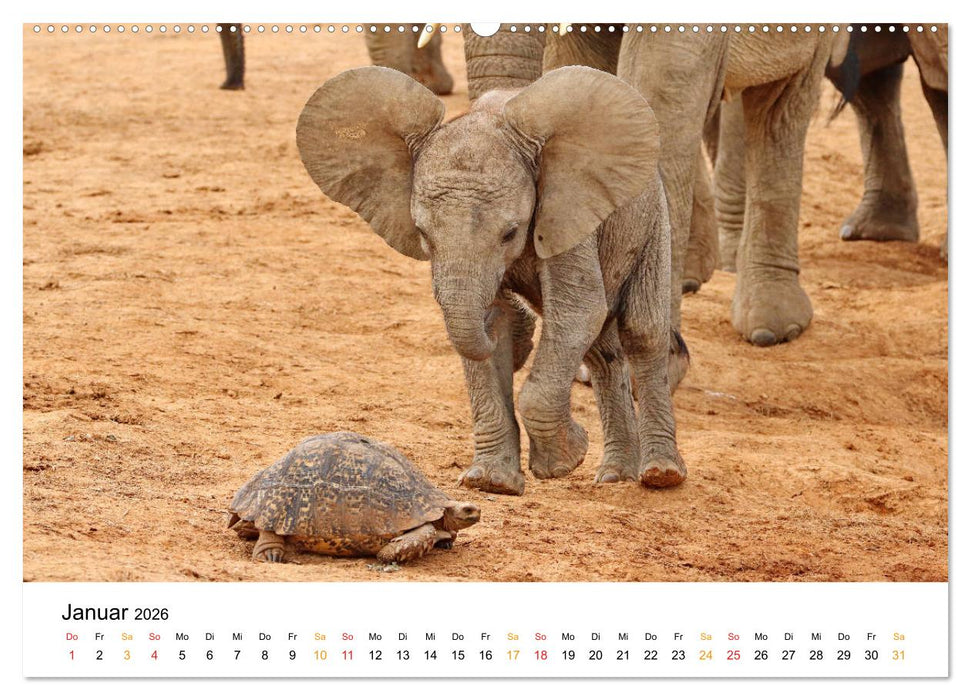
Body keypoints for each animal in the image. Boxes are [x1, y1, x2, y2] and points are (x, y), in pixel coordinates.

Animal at [297, 65, 688, 495]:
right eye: (423, 235)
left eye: (511, 233)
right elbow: (510, 326)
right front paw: (491, 482)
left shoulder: (564, 212)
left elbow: (578, 311)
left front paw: (565, 461)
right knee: (602, 351)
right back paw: (615, 475)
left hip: (653, 219)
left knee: (640, 332)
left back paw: (661, 475)